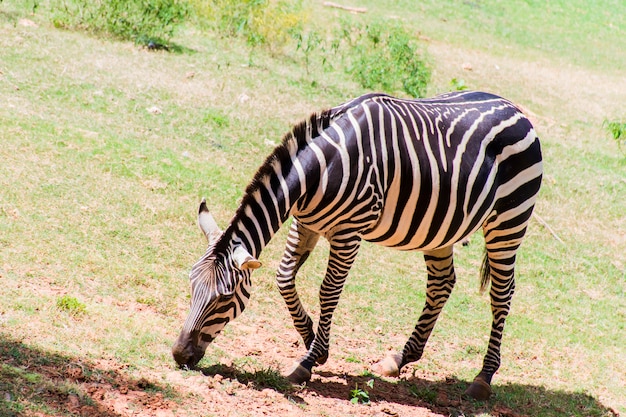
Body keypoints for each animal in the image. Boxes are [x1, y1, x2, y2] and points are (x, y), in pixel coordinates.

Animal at [172, 91, 540, 400]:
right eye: (190, 287)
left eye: (224, 299)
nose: (178, 355)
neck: (321, 169)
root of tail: (513, 107)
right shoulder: (305, 222)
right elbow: (284, 278)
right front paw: (314, 342)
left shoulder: (348, 234)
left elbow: (329, 291)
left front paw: (307, 361)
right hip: (441, 226)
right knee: (441, 285)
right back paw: (400, 358)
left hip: (508, 220)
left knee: (501, 294)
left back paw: (483, 378)